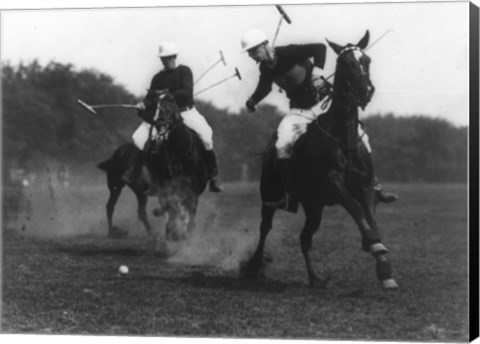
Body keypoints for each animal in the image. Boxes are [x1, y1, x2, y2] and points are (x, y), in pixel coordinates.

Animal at [98, 92, 209, 241]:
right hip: (115, 185)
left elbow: (187, 209)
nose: (161, 121)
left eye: (172, 101)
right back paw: (112, 232)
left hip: (139, 192)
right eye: (156, 103)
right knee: (110, 206)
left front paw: (183, 233)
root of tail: (116, 154)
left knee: (141, 212)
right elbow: (173, 207)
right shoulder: (168, 186)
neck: (180, 152)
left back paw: (152, 233)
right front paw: (172, 231)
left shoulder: (193, 188)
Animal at [242, 31, 400, 290]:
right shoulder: (333, 183)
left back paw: (315, 278)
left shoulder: (365, 185)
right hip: (269, 195)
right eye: (345, 63)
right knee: (265, 228)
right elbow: (356, 209)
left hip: (314, 205)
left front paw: (384, 270)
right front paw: (373, 244)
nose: (366, 91)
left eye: (366, 59)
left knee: (304, 238)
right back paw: (253, 266)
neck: (344, 138)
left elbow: (370, 216)